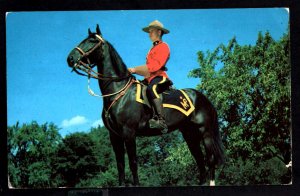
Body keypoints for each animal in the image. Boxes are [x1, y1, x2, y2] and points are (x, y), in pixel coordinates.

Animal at [67, 25, 224, 186]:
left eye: (92, 41)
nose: (70, 58)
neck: (119, 91)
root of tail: (204, 98)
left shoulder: (129, 133)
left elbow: (133, 163)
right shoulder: (114, 136)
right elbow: (120, 165)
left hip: (205, 132)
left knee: (210, 160)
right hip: (189, 134)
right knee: (199, 160)